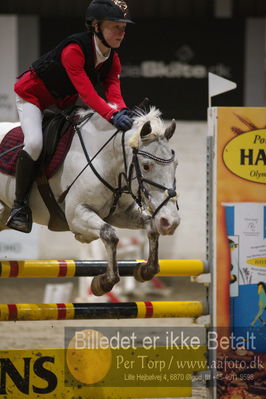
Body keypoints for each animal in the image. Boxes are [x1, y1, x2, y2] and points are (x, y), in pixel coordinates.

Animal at [0, 108, 181, 296]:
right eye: (146, 166)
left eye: (175, 165)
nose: (171, 222)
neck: (106, 163)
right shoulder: (76, 215)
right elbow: (109, 234)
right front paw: (104, 282)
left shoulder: (120, 214)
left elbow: (151, 227)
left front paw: (145, 270)